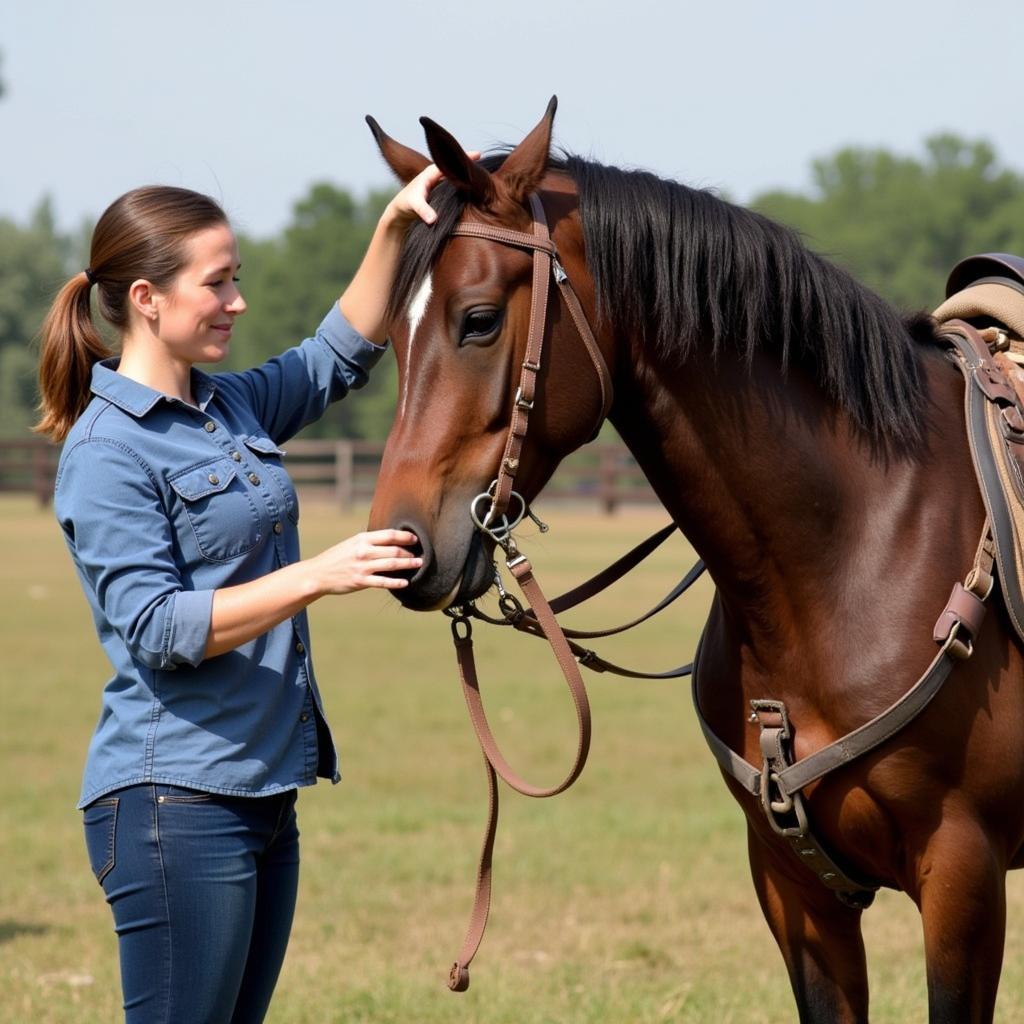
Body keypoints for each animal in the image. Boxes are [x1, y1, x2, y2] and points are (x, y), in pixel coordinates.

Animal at [364, 97, 1019, 1024]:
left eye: (480, 319)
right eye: (388, 330)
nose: (403, 545)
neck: (855, 547)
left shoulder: (964, 878)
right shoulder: (794, 888)